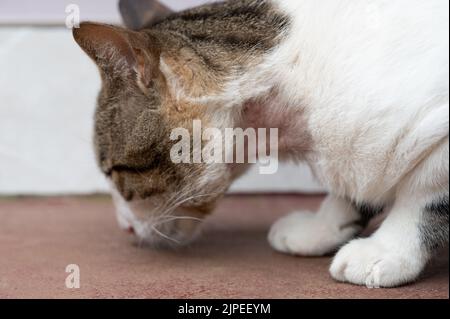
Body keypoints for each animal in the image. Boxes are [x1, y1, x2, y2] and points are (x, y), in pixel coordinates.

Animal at [73, 0, 446, 290]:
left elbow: (422, 199)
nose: (123, 226)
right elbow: (351, 189)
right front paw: (322, 228)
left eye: (114, 173)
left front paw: (389, 250)